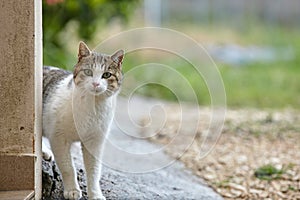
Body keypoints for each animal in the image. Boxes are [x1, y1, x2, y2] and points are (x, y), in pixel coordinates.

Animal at [41, 41, 123, 199]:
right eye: (88, 72)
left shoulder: (95, 142)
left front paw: (95, 194)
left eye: (106, 75)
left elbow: (94, 171)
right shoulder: (58, 138)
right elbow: (68, 167)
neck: (92, 107)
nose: (96, 84)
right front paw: (72, 190)